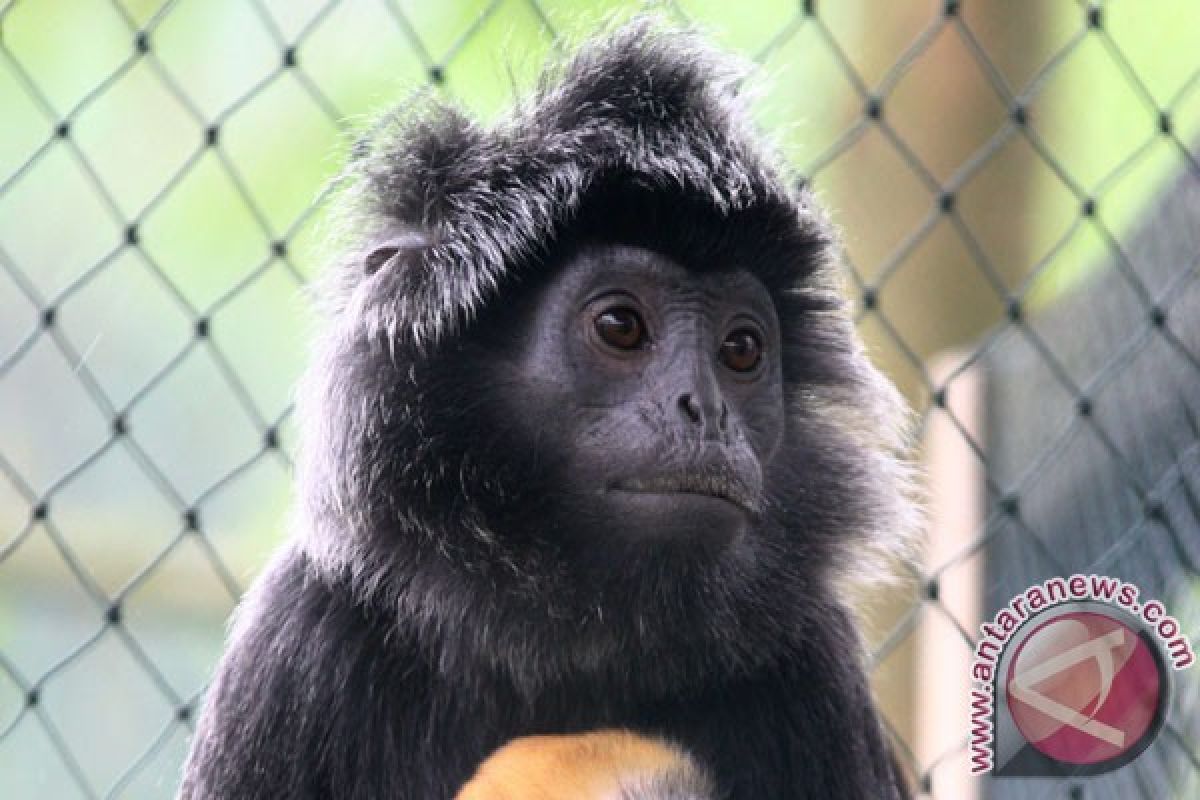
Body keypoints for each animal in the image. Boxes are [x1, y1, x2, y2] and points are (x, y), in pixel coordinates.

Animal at [180, 14, 916, 800]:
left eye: (742, 349)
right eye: (620, 326)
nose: (706, 410)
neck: (572, 640)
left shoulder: (819, 667)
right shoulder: (293, 642)